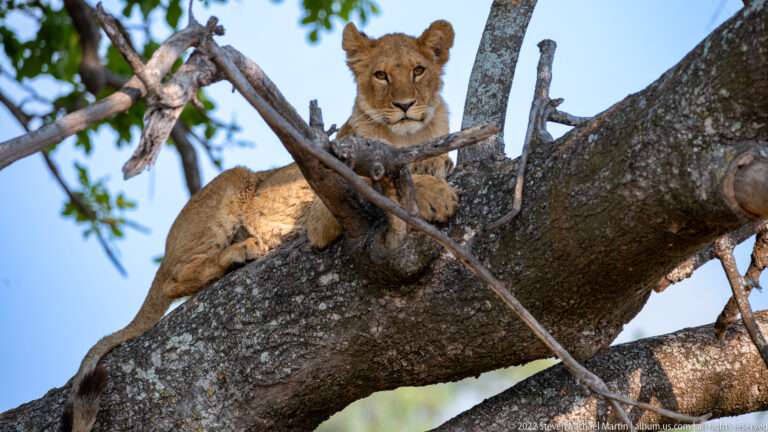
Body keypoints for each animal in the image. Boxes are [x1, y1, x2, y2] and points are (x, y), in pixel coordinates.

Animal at [64, 19, 457, 432]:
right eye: (381, 75)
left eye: (418, 70)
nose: (404, 106)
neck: (408, 136)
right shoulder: (324, 210)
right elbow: (384, 182)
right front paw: (437, 194)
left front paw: (436, 168)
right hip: (233, 180)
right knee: (175, 279)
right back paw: (243, 250)